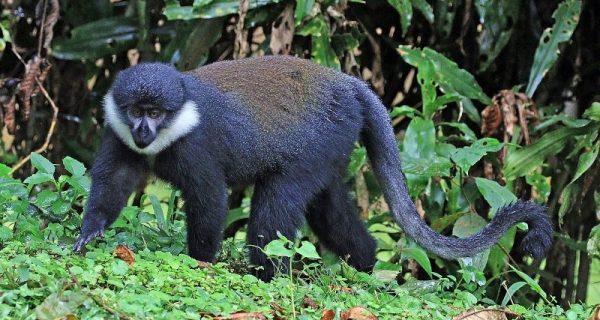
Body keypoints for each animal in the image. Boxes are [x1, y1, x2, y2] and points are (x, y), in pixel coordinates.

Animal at [75, 56, 552, 282]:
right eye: (136, 110)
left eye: (155, 112)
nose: (143, 128)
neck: (173, 125)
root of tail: (348, 83)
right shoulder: (118, 134)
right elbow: (115, 183)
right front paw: (89, 233)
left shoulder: (196, 149)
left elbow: (210, 201)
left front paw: (199, 264)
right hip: (333, 150)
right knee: (328, 209)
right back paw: (366, 265)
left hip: (319, 144)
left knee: (275, 209)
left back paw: (270, 277)